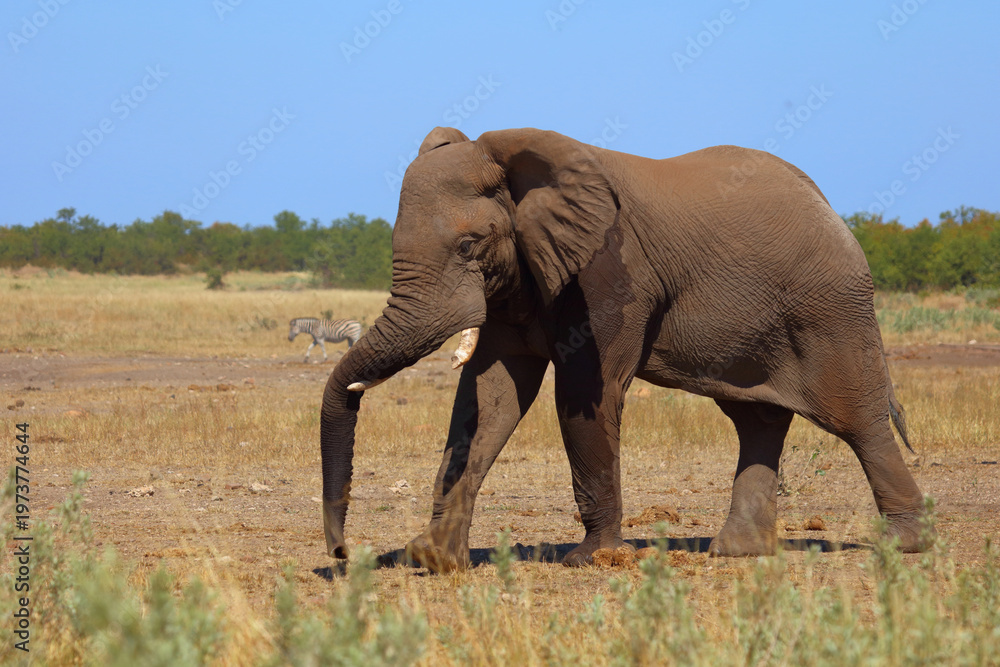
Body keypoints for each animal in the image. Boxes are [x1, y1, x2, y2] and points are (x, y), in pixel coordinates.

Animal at [319, 126, 929, 572]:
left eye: (470, 245)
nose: (342, 552)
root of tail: (830, 208)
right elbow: (489, 398)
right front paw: (433, 556)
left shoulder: (607, 270)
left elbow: (583, 394)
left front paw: (596, 559)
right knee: (756, 419)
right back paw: (738, 553)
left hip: (832, 311)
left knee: (858, 421)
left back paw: (903, 545)